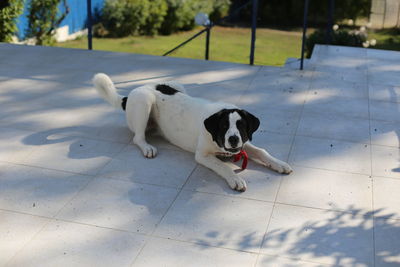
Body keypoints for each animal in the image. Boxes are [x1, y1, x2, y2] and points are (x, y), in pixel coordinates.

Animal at [94, 73, 294, 193]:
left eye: (241, 127)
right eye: (223, 126)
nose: (233, 139)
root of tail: (130, 94)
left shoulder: (243, 144)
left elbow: (261, 151)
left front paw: (279, 164)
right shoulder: (202, 155)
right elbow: (223, 166)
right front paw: (235, 178)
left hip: (178, 85)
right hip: (144, 101)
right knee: (138, 137)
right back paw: (147, 147)